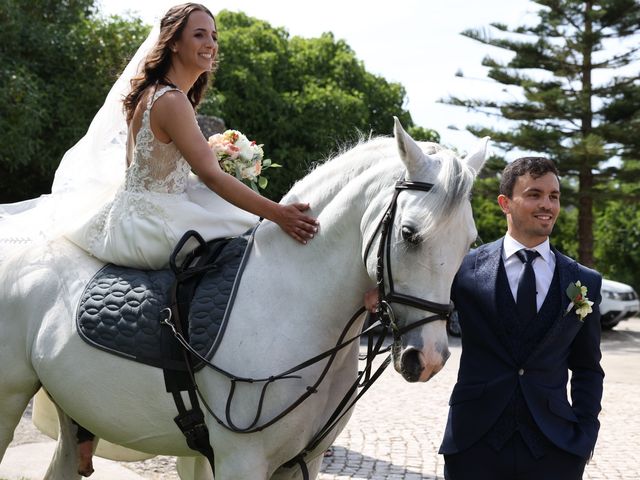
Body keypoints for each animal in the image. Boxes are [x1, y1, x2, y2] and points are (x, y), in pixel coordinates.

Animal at [0, 117, 488, 480]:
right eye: (409, 234)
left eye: (470, 242)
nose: (429, 359)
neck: (292, 303)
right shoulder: (241, 462)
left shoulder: (303, 462)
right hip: (9, 398)